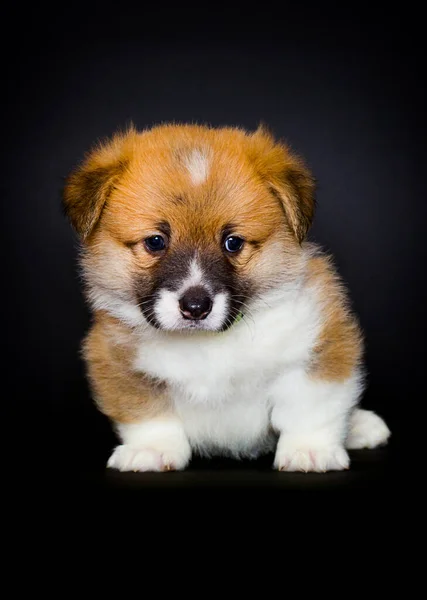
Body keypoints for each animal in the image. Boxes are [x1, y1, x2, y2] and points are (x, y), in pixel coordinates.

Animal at [63, 124, 392, 472]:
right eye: (155, 241)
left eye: (233, 242)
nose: (195, 307)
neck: (208, 345)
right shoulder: (119, 363)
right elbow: (148, 413)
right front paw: (151, 450)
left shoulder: (318, 345)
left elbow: (309, 408)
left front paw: (310, 450)